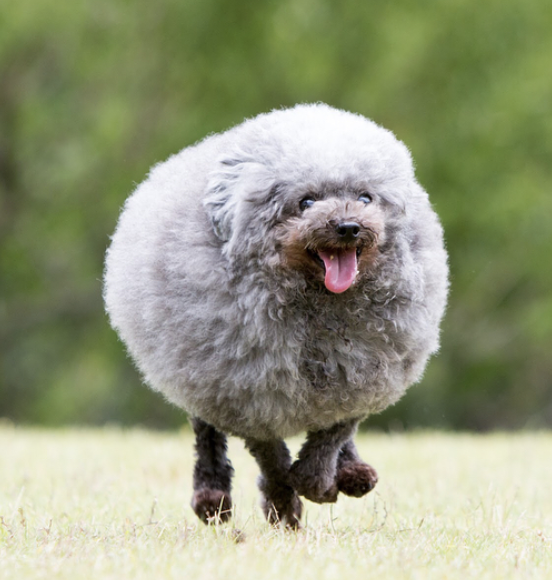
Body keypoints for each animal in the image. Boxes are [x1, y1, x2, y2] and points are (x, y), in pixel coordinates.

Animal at [103, 104, 448, 532]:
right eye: (306, 202)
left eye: (366, 197)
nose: (349, 227)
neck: (319, 307)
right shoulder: (249, 391)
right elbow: (269, 455)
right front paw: (286, 502)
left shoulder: (361, 375)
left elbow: (333, 433)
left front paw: (318, 482)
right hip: (198, 372)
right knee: (207, 434)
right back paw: (213, 497)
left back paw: (353, 474)